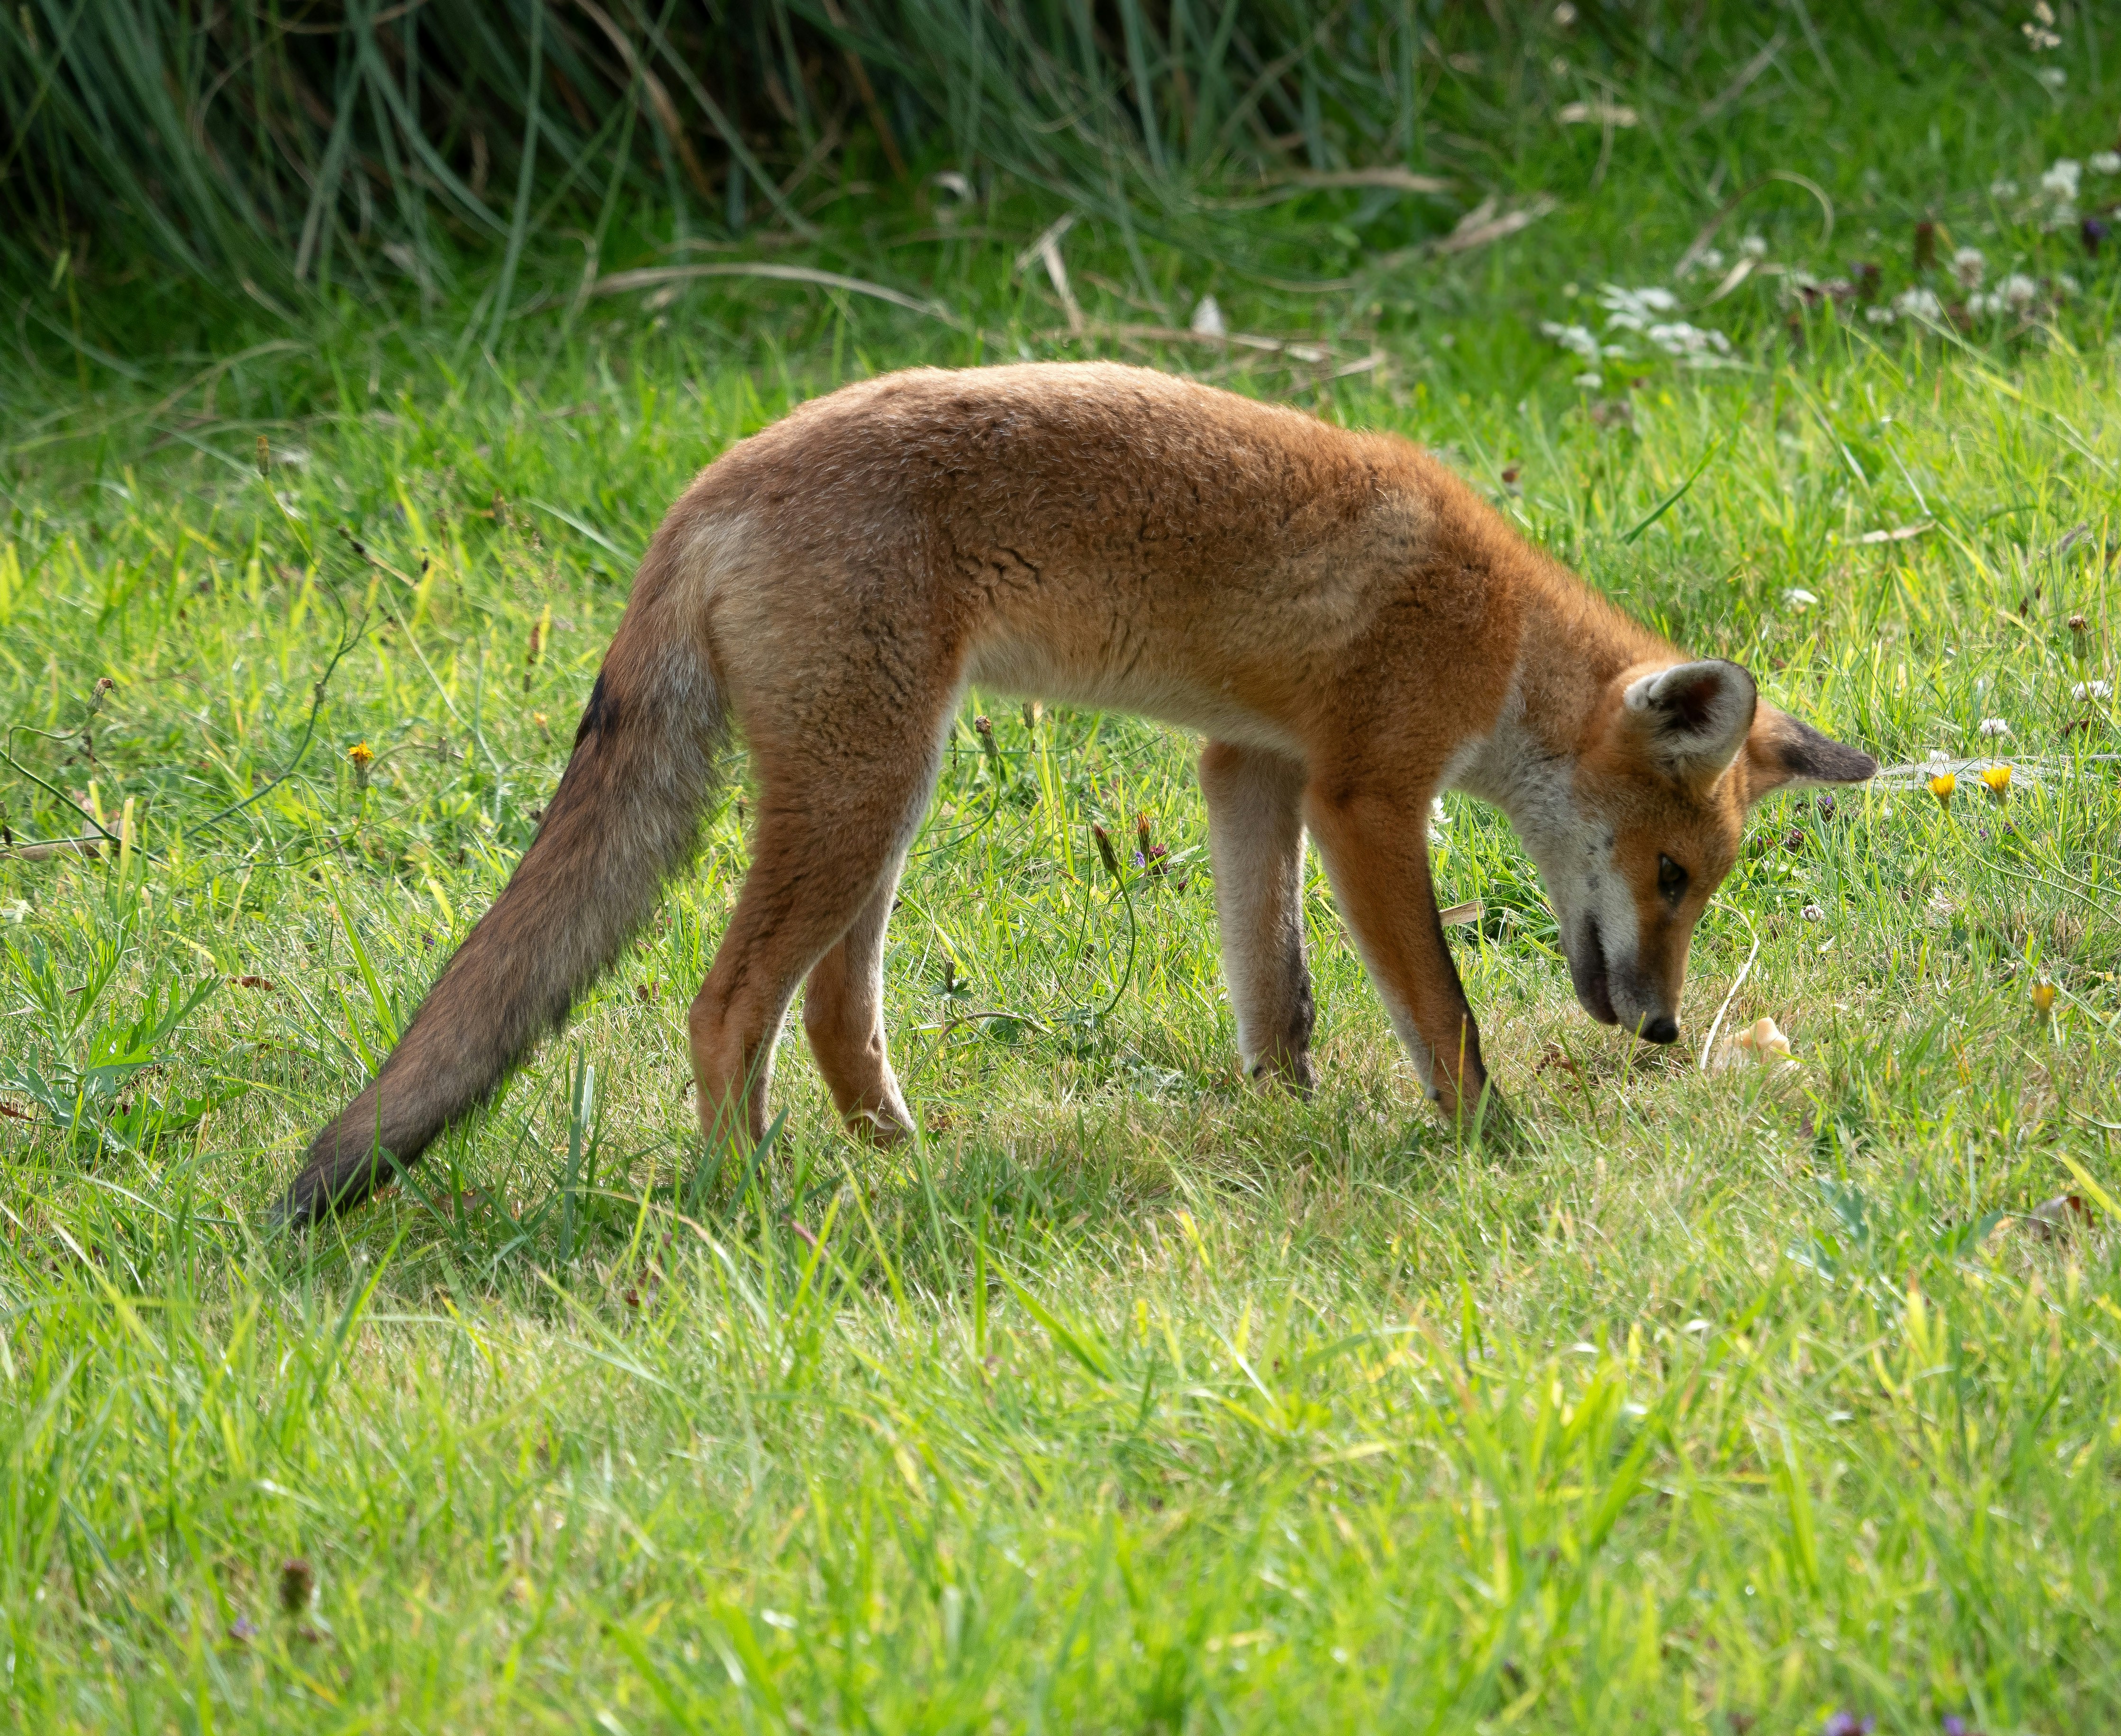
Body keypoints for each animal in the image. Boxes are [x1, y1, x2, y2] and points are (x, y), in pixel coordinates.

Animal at [275, 361, 1875, 1223]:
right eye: (1669, 878)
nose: (1661, 1028)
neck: (1495, 634)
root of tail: (711, 481)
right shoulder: (1364, 795)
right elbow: (1443, 1012)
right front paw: (1492, 1144)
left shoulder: (1250, 766)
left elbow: (1277, 993)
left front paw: (1284, 1120)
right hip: (861, 791)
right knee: (726, 1006)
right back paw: (749, 1194)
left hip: (888, 792)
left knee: (833, 1006)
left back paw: (898, 1159)